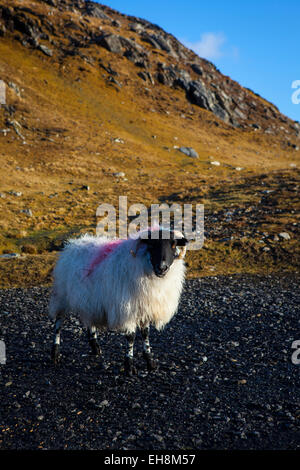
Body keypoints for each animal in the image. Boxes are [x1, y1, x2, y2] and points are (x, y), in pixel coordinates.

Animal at [48, 227, 188, 374]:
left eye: (173, 244)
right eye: (152, 244)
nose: (162, 267)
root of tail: (72, 244)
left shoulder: (144, 307)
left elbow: (145, 335)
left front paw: (150, 362)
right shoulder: (128, 310)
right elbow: (131, 337)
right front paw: (129, 365)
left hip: (89, 300)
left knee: (90, 320)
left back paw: (95, 346)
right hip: (62, 296)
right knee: (58, 323)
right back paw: (55, 352)